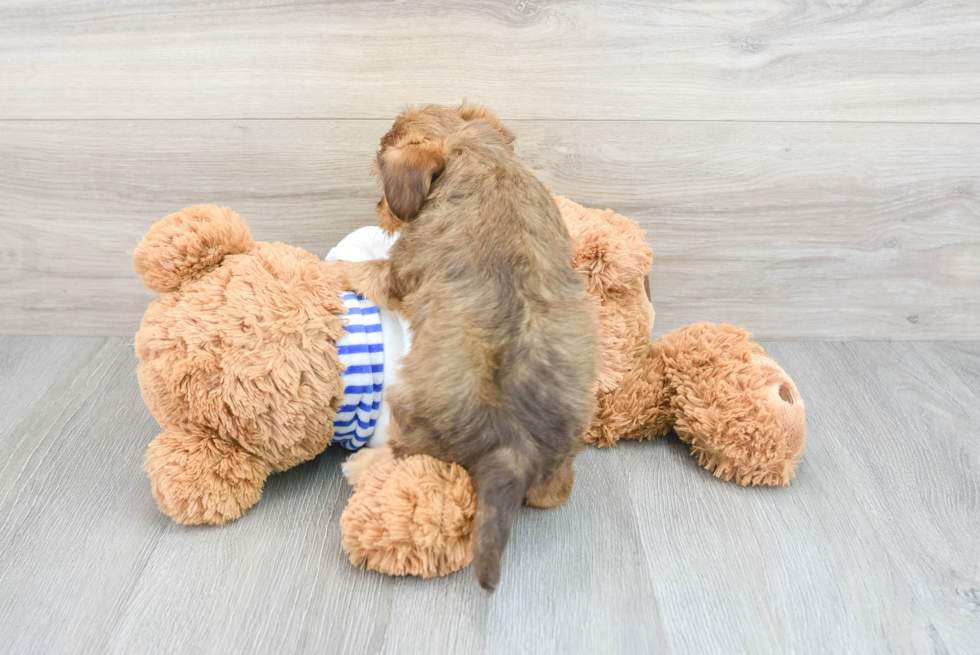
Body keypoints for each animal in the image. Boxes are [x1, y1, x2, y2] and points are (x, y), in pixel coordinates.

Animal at [330, 105, 596, 592]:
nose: (379, 211)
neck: (480, 157)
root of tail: (515, 450)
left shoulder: (398, 274)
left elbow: (365, 271)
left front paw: (328, 266)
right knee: (554, 493)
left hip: (409, 399)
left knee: (410, 447)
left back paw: (363, 465)